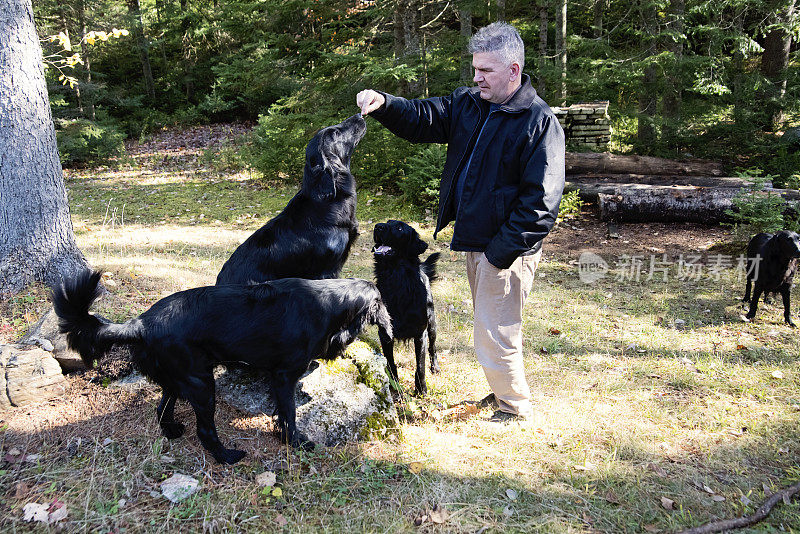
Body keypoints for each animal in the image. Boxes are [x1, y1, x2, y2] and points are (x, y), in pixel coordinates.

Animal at [52, 272, 390, 464]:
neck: (327, 300)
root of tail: (140, 323)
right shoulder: (283, 376)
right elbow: (290, 415)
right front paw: (296, 442)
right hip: (202, 384)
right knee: (204, 429)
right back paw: (226, 457)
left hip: (182, 379)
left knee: (162, 407)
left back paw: (172, 431)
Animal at [372, 219, 440, 398]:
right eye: (387, 222)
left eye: (400, 228)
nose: (377, 226)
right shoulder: (385, 334)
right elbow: (390, 363)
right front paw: (395, 388)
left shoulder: (420, 334)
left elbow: (420, 366)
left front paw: (421, 390)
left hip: (432, 324)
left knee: (433, 348)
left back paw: (435, 367)